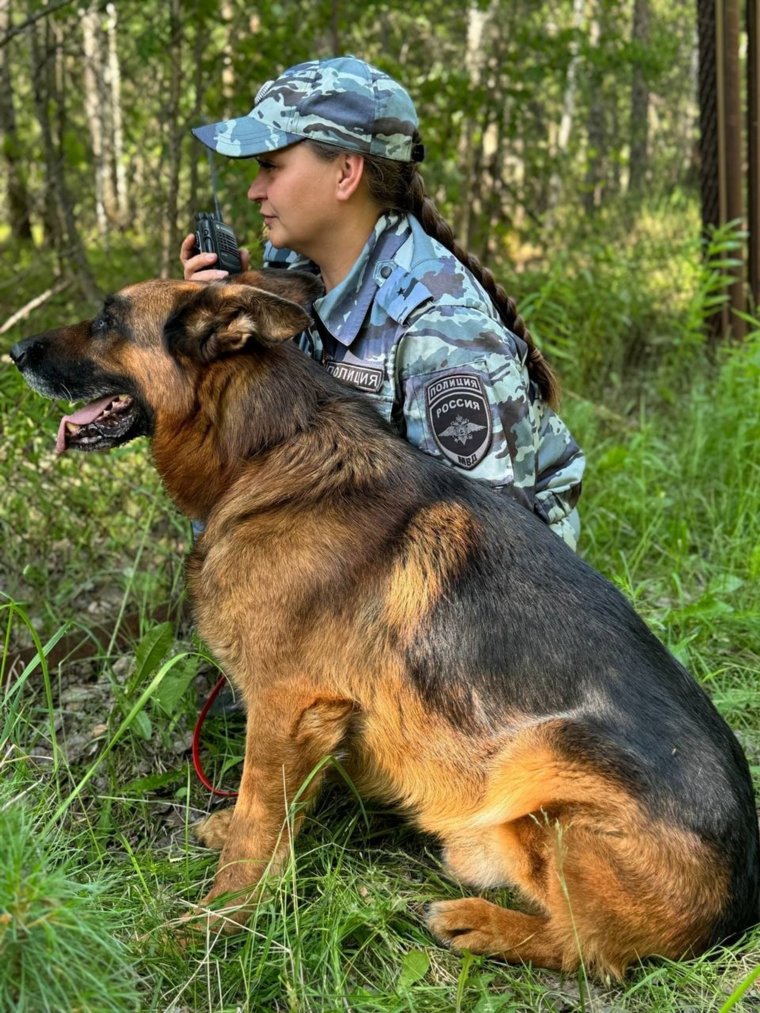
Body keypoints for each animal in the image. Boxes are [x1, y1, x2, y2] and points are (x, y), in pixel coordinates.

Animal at [11, 273, 760, 976]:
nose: (14, 350)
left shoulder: (286, 706)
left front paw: (213, 924)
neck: (270, 450)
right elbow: (265, 810)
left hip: (540, 758)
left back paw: (479, 922)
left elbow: (258, 821)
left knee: (588, 949)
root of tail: (742, 895)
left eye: (107, 319)